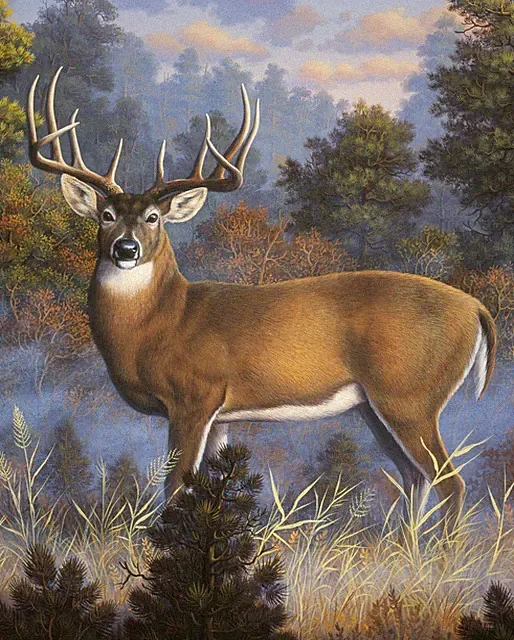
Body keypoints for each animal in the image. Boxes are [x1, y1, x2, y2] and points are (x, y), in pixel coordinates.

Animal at [27, 68, 496, 527]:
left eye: (154, 217)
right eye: (106, 216)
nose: (126, 249)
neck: (161, 324)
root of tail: (476, 308)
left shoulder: (194, 396)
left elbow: (175, 489)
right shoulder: (219, 415)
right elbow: (208, 489)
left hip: (410, 394)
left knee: (450, 483)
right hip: (375, 406)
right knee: (415, 478)